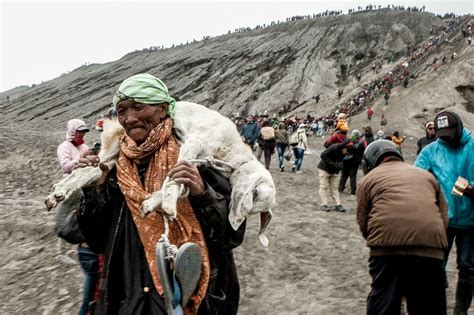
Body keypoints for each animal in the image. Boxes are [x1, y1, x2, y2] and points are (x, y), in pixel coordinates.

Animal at [46, 102, 276, 246]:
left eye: (255, 211)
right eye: (255, 194)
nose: (236, 221)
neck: (232, 152)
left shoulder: (199, 160)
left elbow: (174, 181)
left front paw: (151, 204)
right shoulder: (194, 142)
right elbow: (174, 177)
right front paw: (168, 205)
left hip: (111, 156)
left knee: (90, 171)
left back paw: (57, 194)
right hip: (116, 143)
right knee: (87, 169)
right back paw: (58, 192)